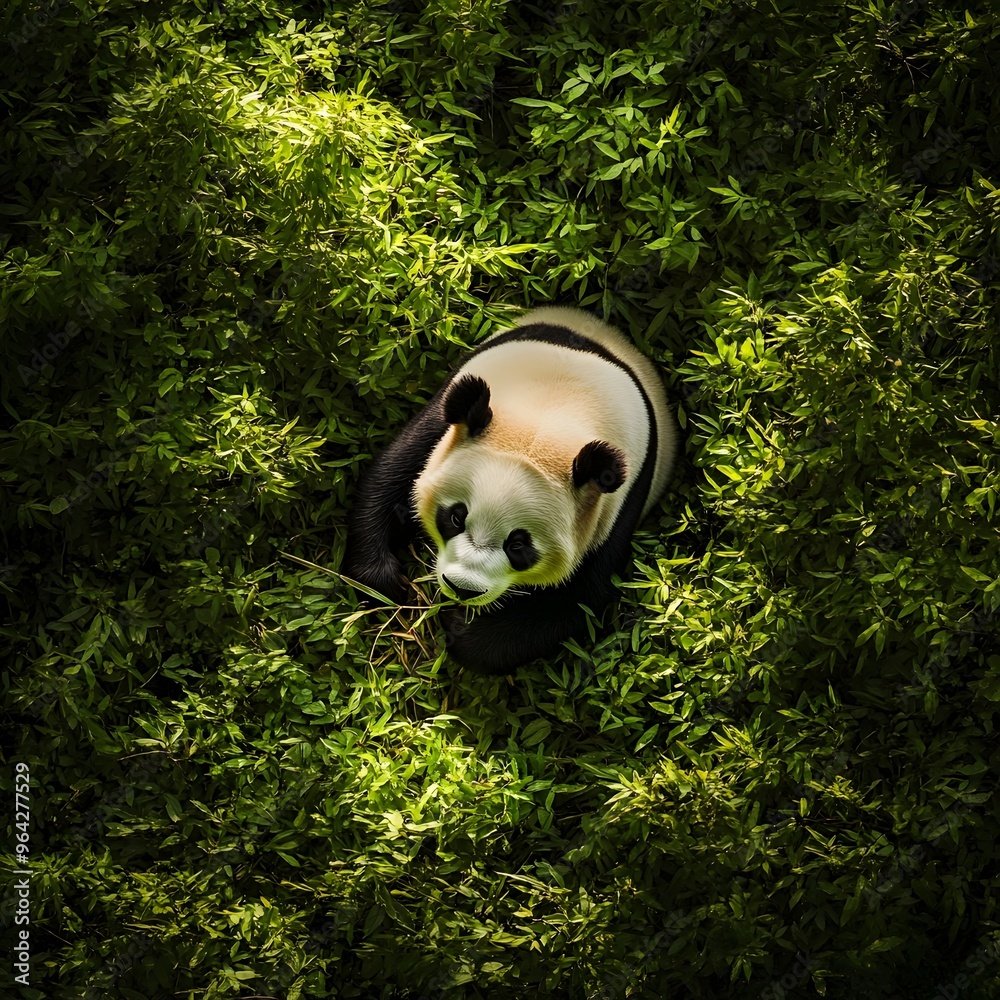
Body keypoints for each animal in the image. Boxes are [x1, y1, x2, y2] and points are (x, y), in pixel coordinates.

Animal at [342, 306, 678, 674]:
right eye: (455, 517)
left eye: (518, 545)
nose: (463, 589)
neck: (553, 414)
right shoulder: (450, 422)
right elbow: (390, 479)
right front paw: (384, 580)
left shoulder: (614, 505)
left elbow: (574, 601)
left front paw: (459, 626)